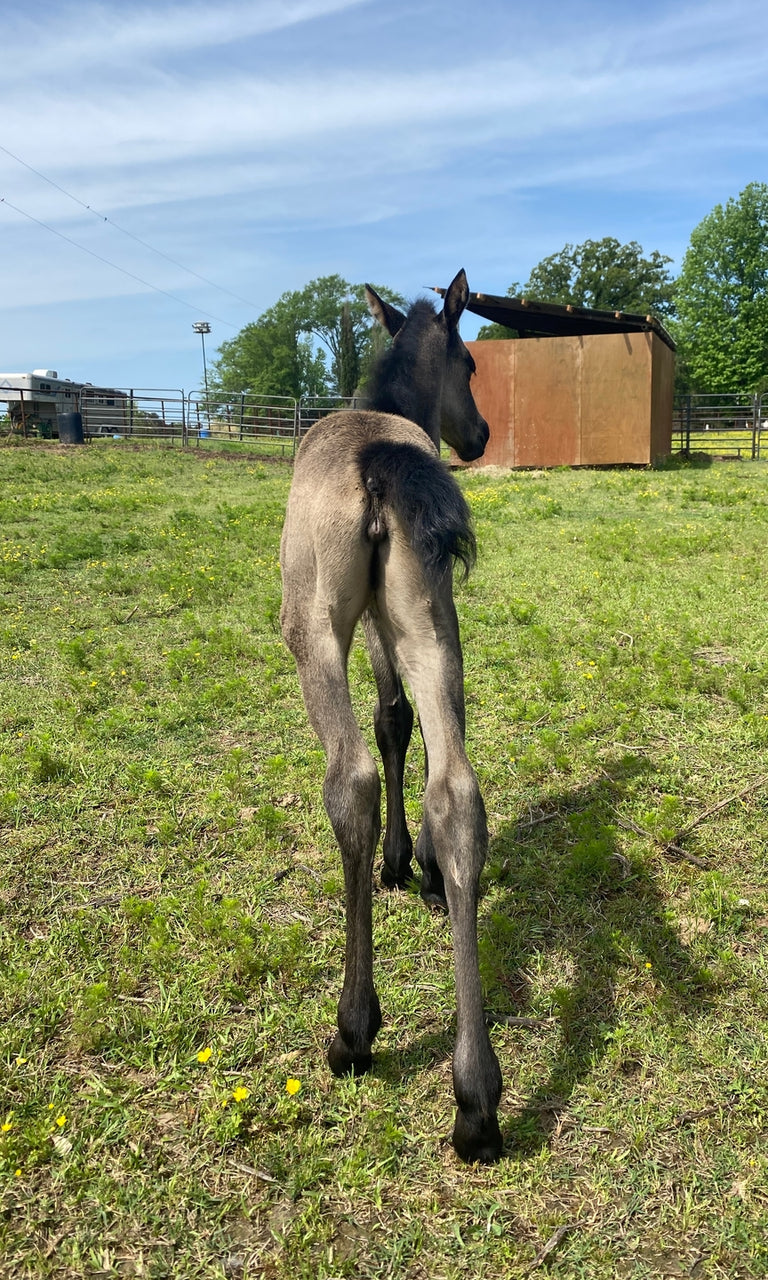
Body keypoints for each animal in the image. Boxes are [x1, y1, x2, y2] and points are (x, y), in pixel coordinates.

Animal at [279, 269, 503, 1163]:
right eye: (471, 364)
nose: (480, 433)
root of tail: (380, 462)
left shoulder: (366, 626)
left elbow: (388, 722)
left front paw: (400, 863)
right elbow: (413, 726)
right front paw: (428, 874)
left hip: (315, 626)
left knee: (352, 779)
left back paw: (354, 1028)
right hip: (433, 620)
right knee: (460, 792)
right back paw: (477, 1100)